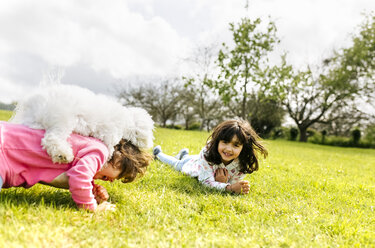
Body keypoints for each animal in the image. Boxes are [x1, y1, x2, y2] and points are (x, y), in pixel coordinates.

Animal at [10, 84, 154, 164]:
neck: (127, 120)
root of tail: (31, 104)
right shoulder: (110, 133)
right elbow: (110, 144)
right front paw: (110, 153)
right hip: (63, 120)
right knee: (52, 139)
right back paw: (63, 154)